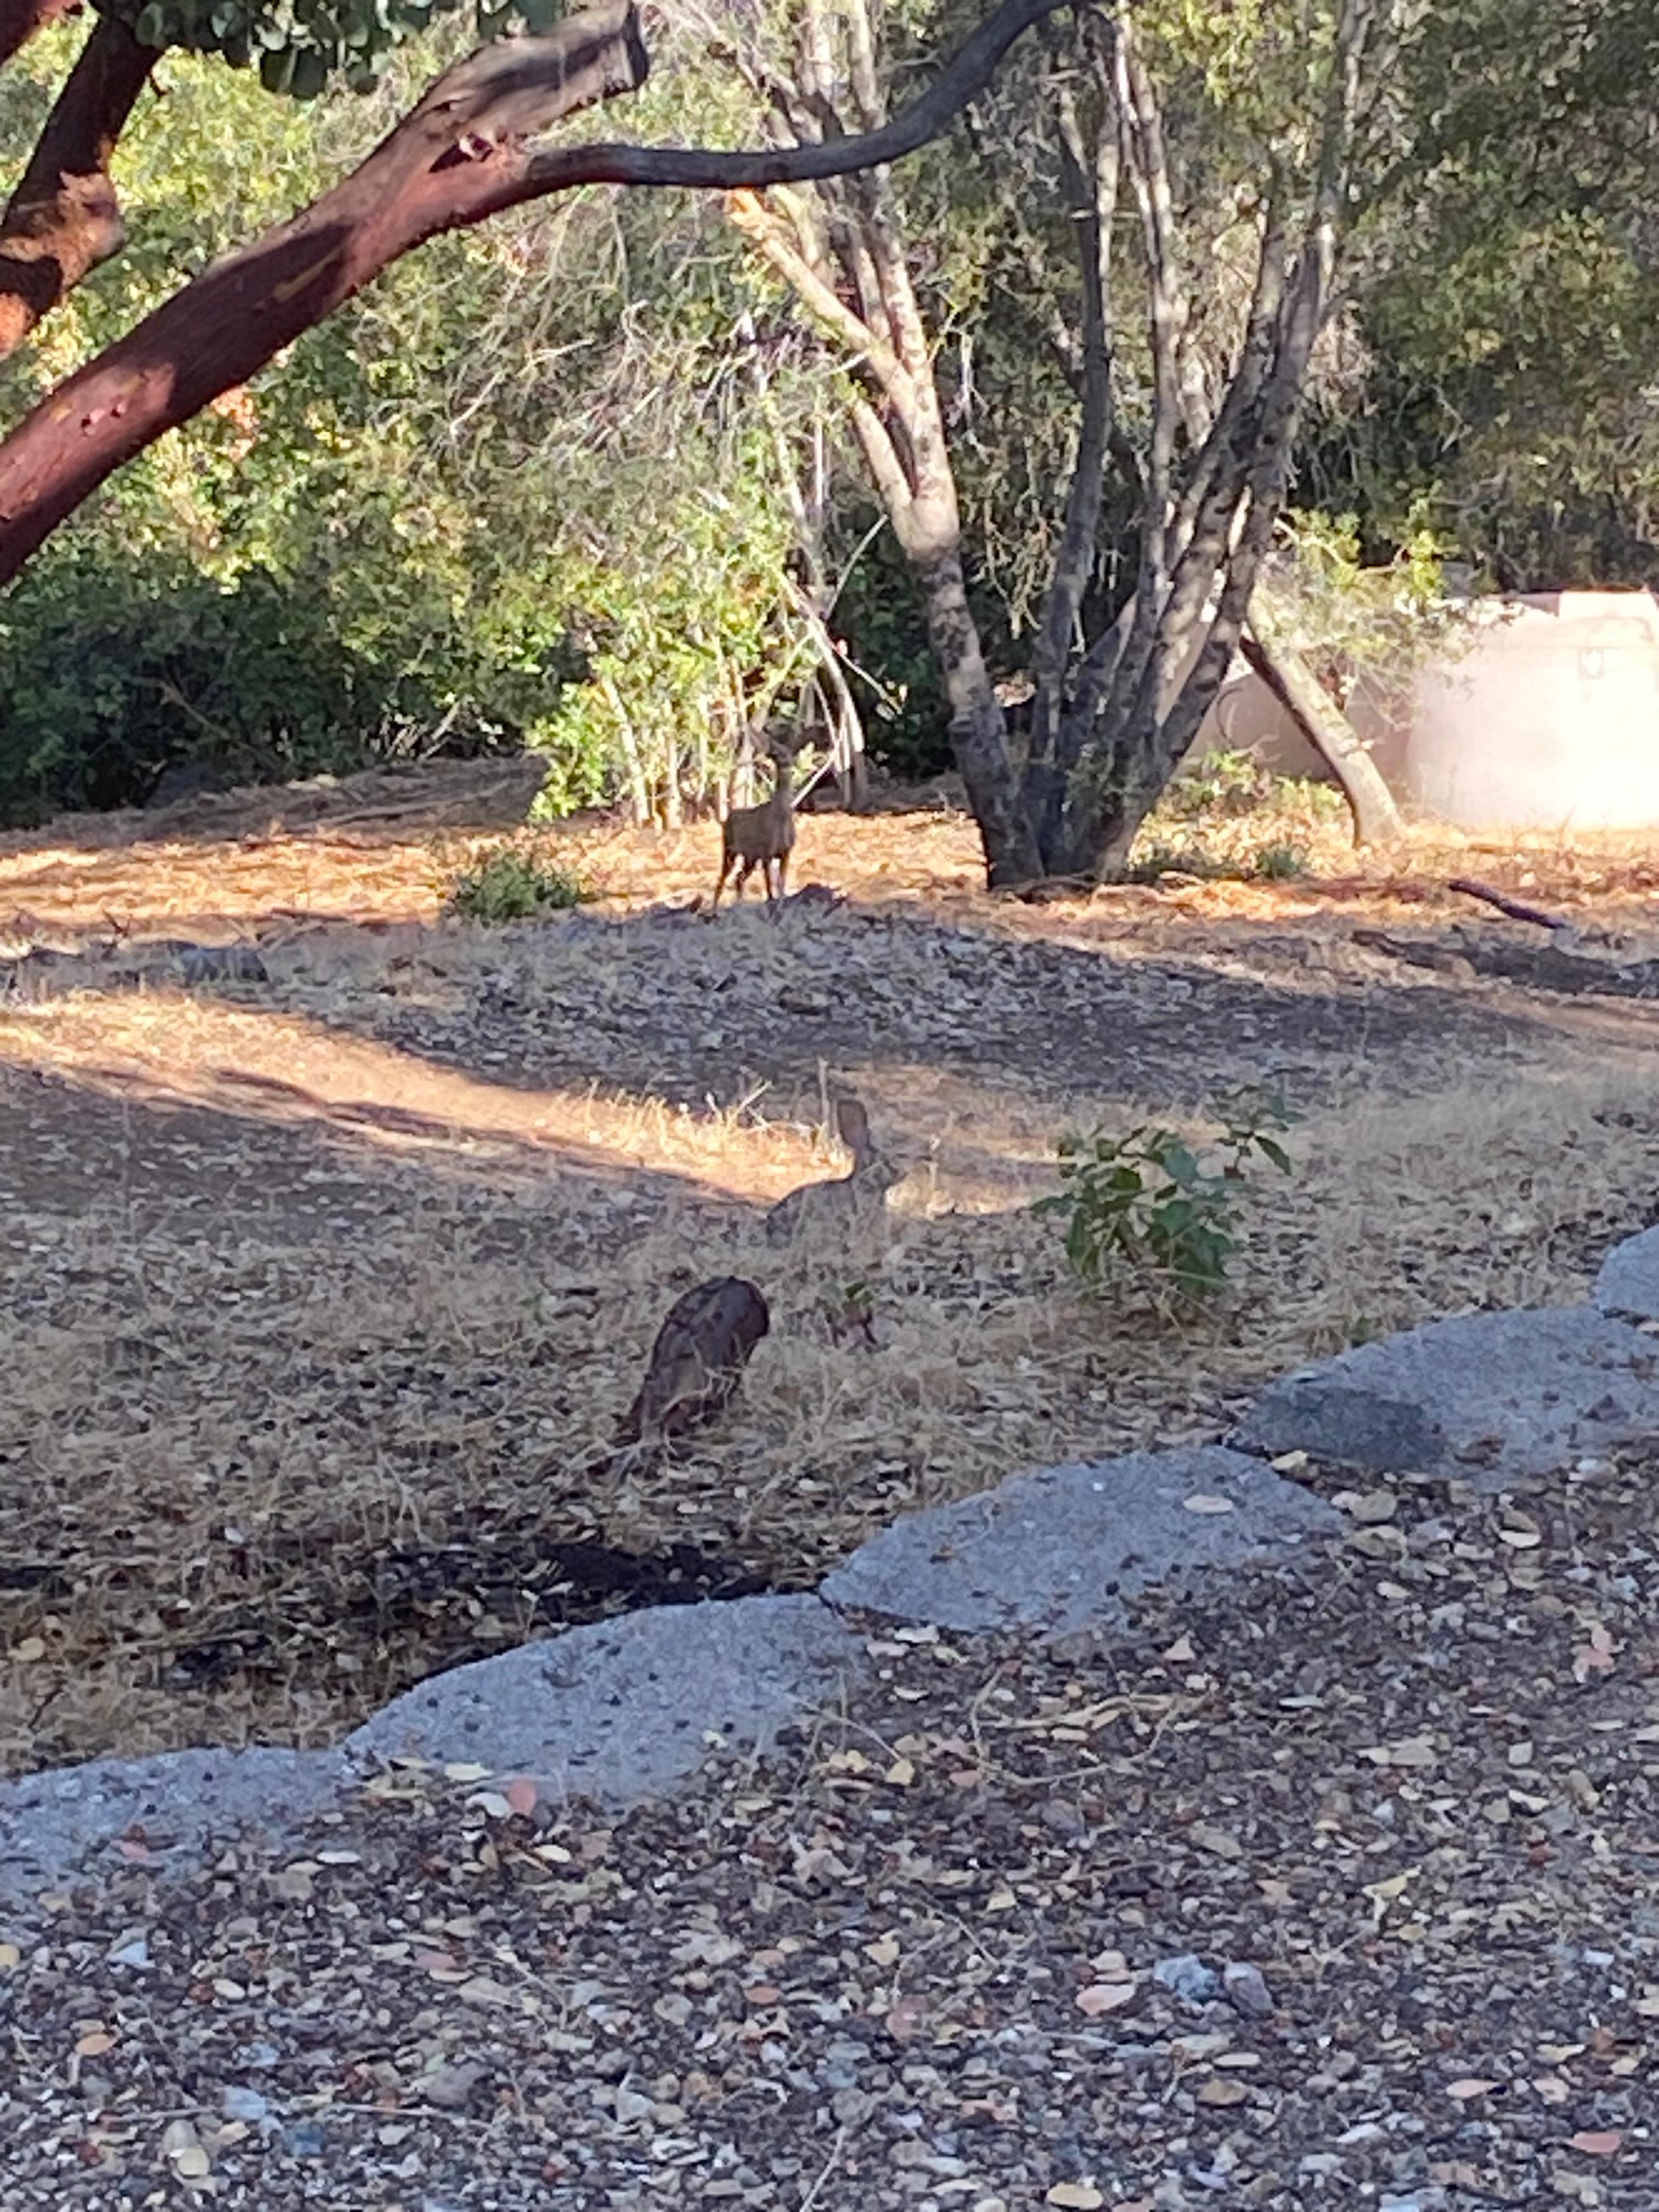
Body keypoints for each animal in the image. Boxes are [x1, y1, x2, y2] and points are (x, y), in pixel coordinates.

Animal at [711, 729, 805, 914]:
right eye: (775, 752)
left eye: (787, 750)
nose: (787, 762)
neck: (781, 818)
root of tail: (727, 819)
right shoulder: (766, 852)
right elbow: (769, 887)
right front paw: (772, 907)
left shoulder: (786, 852)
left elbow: (781, 883)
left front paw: (782, 906)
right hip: (729, 850)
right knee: (722, 879)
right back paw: (714, 912)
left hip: (750, 858)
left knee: (739, 877)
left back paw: (738, 905)